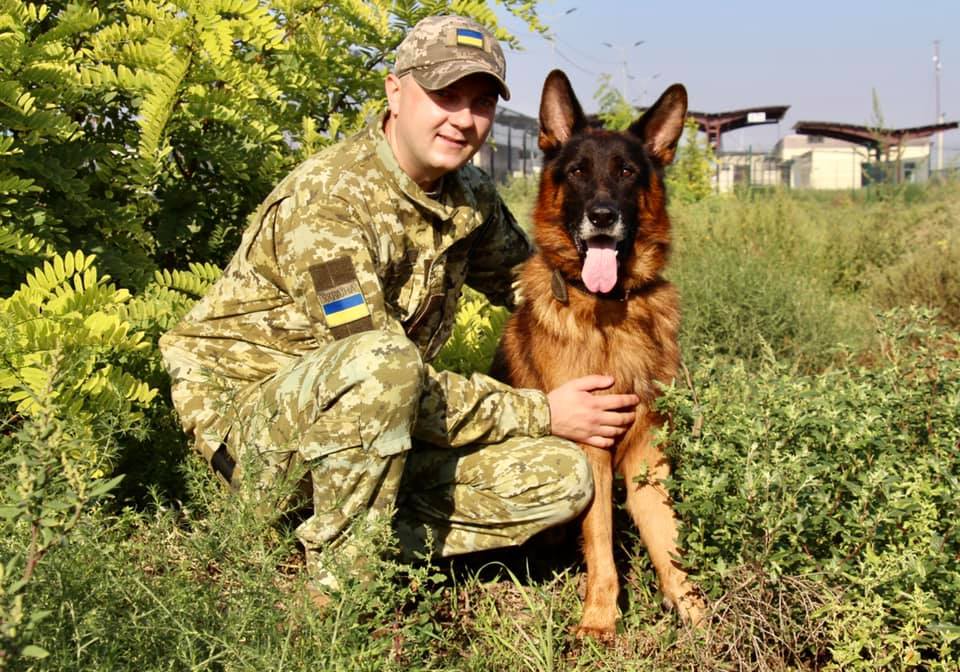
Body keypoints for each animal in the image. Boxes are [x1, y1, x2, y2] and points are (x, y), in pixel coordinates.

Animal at [492, 71, 700, 636]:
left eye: (627, 172)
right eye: (578, 171)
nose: (602, 217)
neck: (609, 313)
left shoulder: (648, 448)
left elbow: (668, 536)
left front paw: (696, 610)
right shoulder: (592, 445)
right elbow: (601, 540)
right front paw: (600, 619)